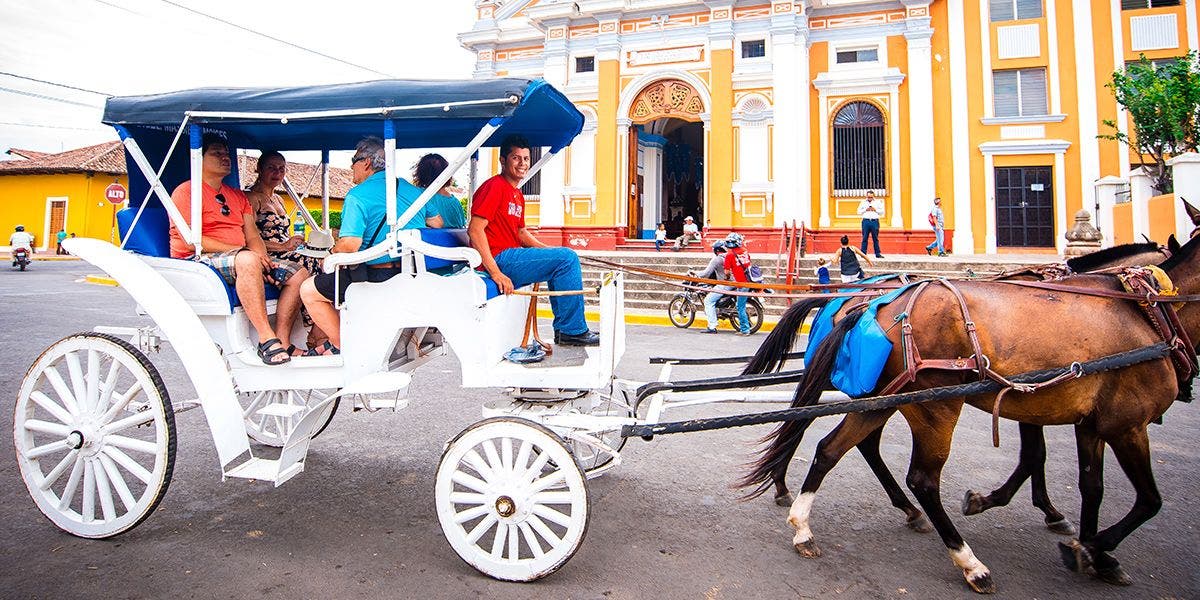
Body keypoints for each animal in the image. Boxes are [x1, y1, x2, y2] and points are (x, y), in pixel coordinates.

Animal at [734, 236, 1195, 592]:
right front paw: (1075, 538)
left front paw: (1087, 544)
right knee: (914, 474)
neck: (1143, 310)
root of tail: (863, 303)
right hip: (932, 403)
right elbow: (1143, 497)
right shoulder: (1120, 421)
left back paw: (816, 517)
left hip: (887, 395)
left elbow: (1087, 483)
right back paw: (969, 563)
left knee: (836, 443)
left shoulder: (1076, 415)